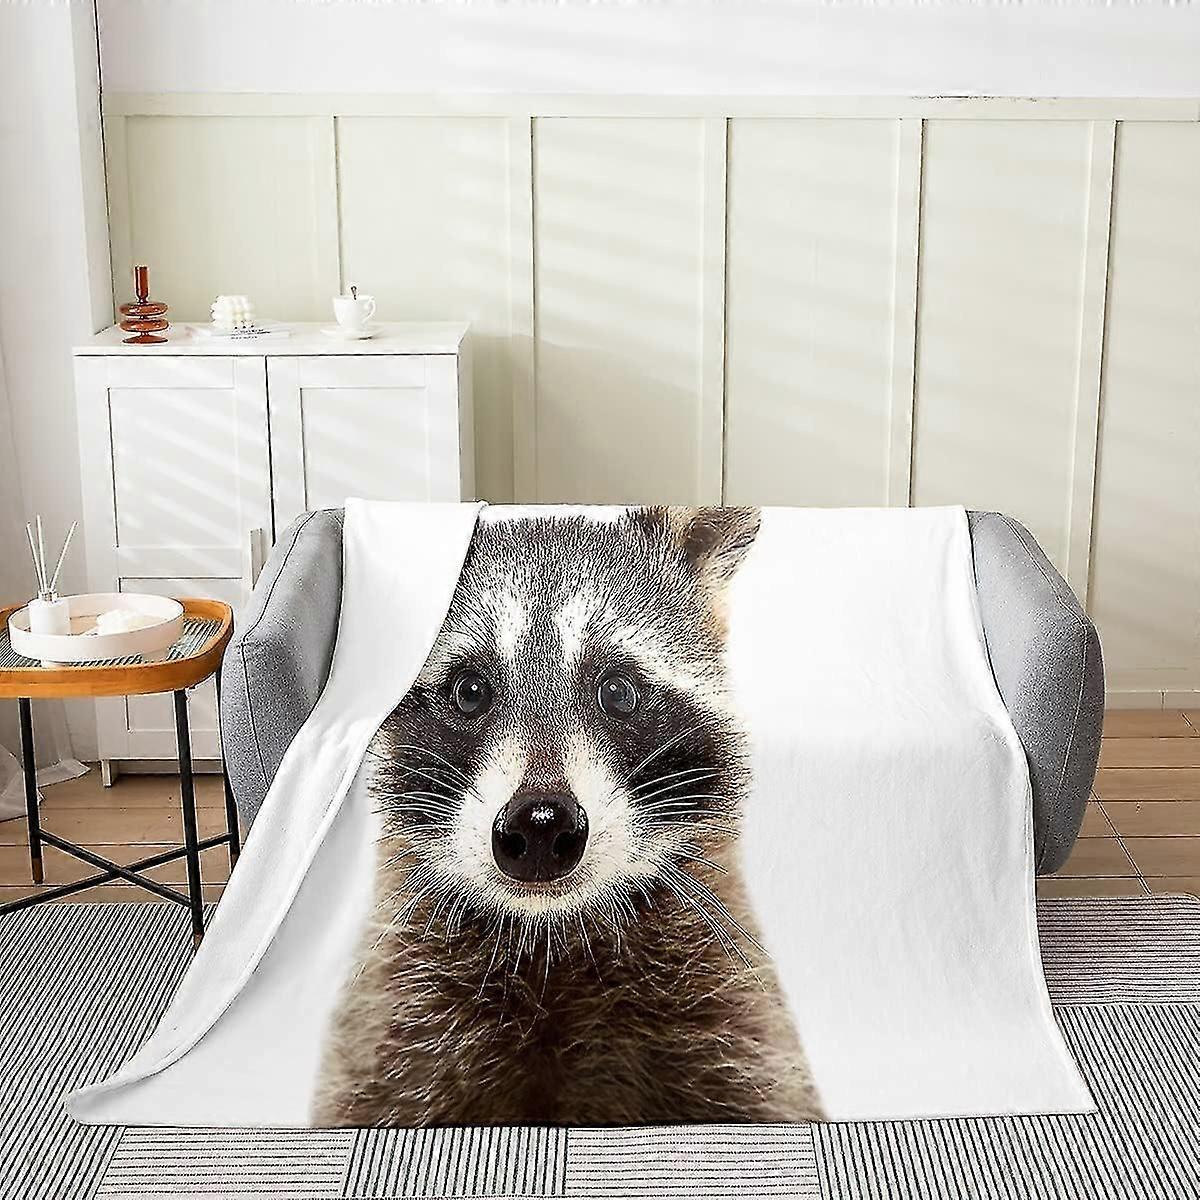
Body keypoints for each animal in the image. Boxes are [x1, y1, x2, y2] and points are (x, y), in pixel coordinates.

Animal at [314, 505, 823, 1127]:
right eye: (469, 690)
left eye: (619, 691)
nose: (539, 825)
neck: (550, 938)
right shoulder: (392, 1034)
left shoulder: (734, 1030)